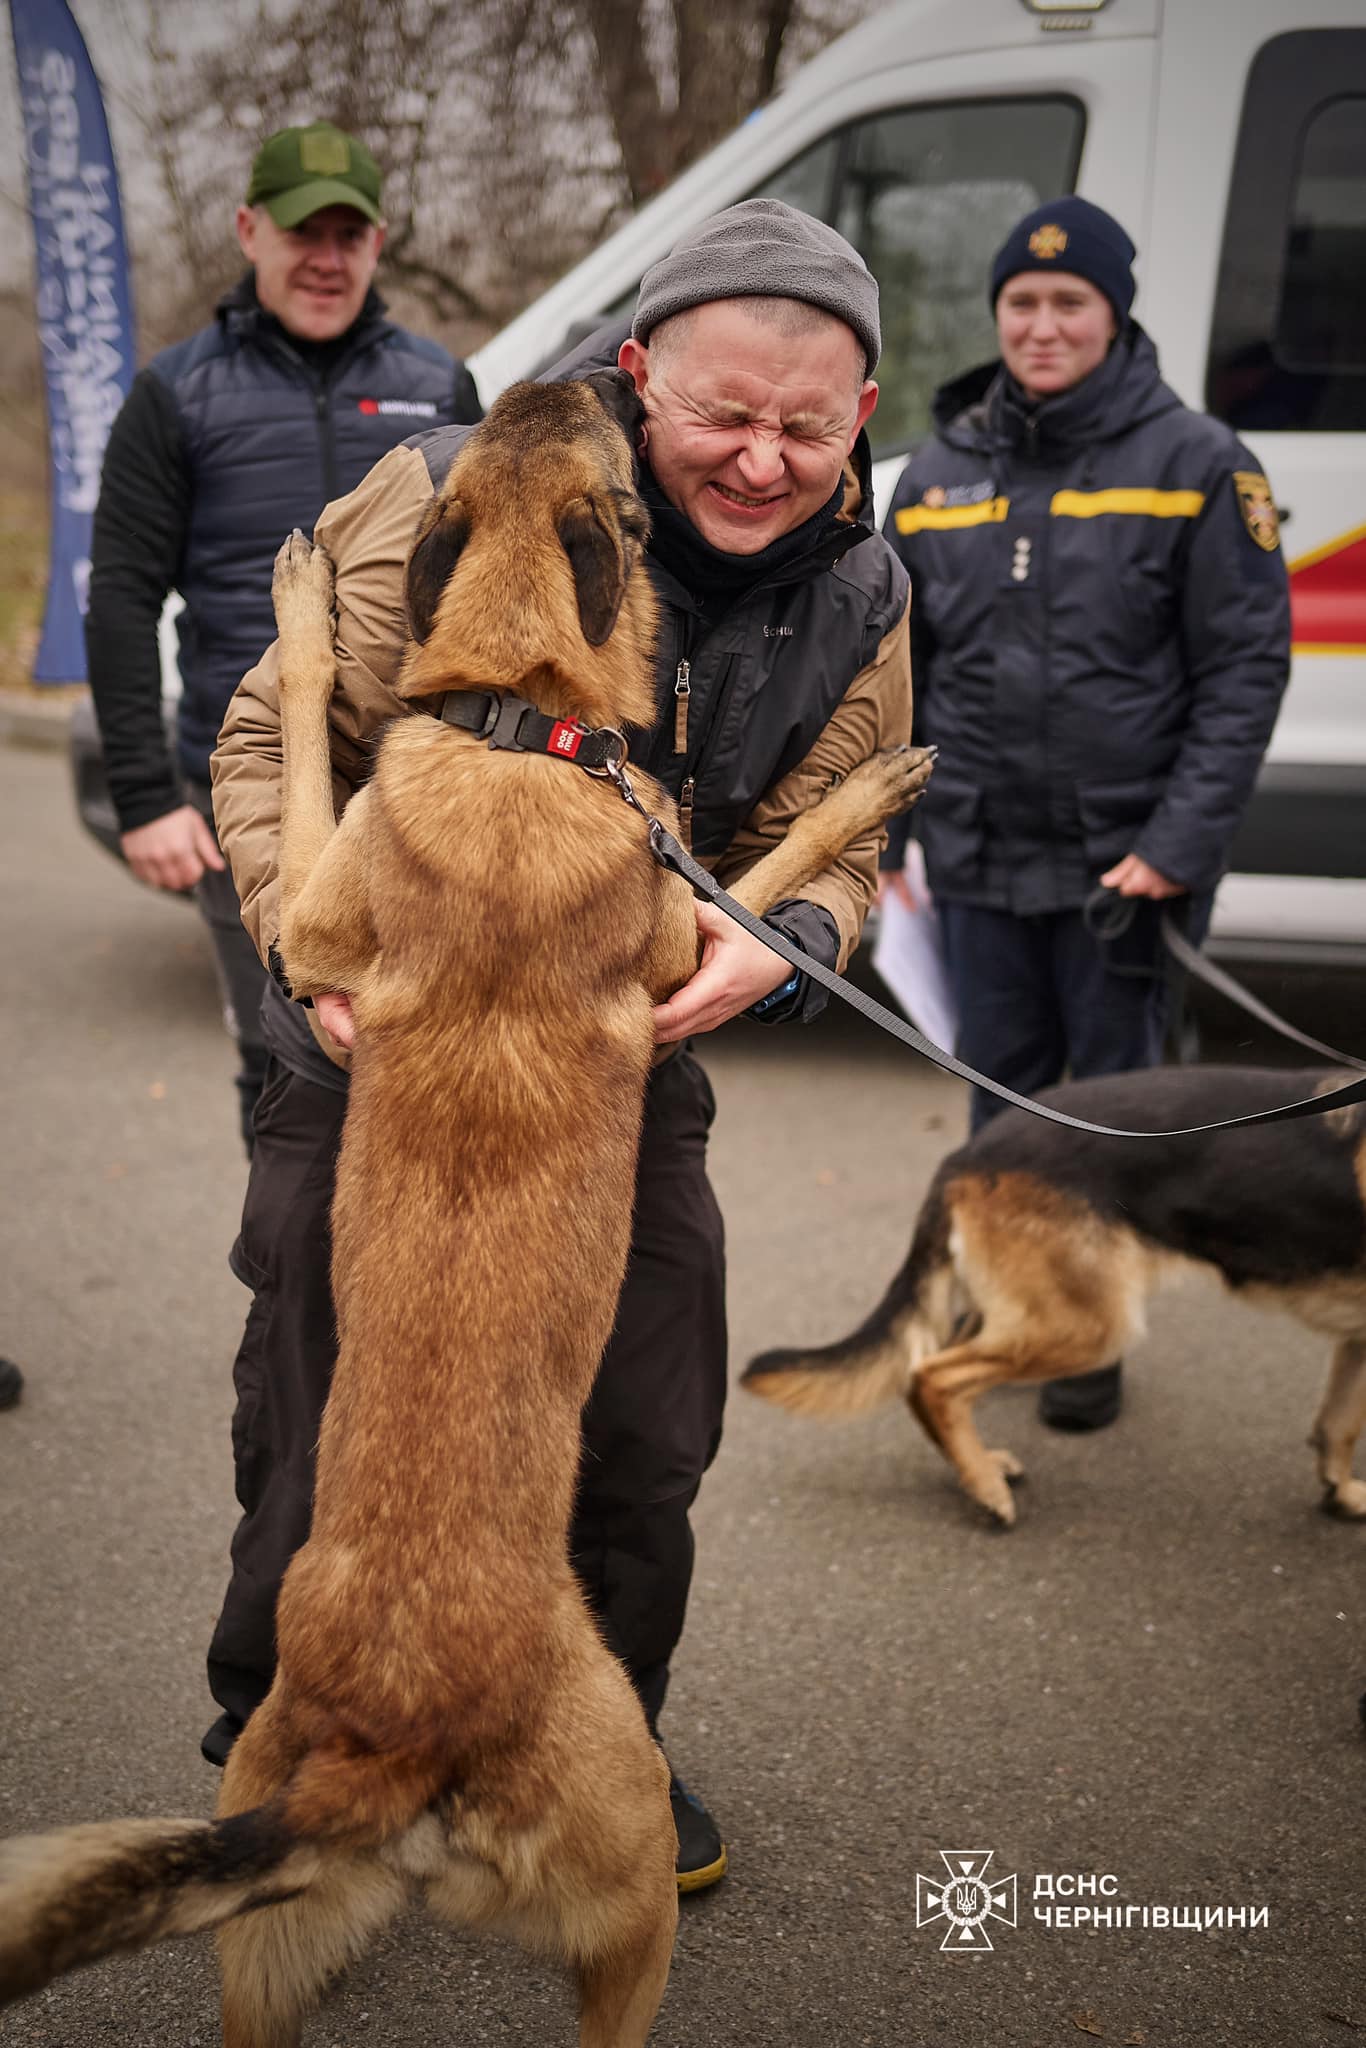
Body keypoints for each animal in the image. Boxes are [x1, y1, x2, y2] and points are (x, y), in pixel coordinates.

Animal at [0, 372, 929, 2048]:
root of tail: (393, 1736)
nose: (601, 372)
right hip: (625, 1903)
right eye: (618, 454)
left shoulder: (330, 911)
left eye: (552, 416)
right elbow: (766, 869)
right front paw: (874, 785)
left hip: (258, 1947)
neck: (513, 717)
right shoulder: (655, 921)